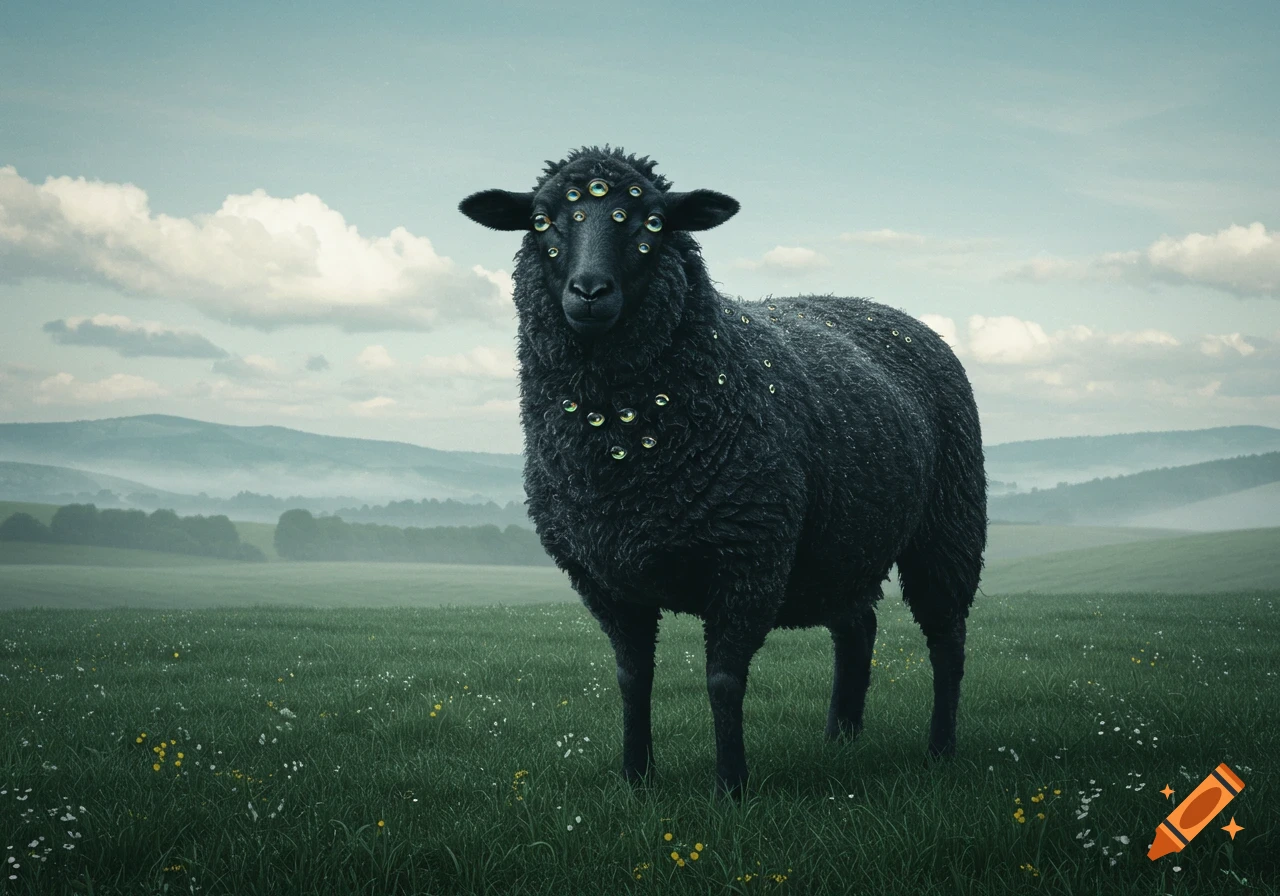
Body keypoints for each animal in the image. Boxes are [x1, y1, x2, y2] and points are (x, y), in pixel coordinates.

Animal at [459, 146, 987, 795]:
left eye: (654, 223)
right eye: (540, 221)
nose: (589, 290)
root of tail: (894, 312)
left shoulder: (747, 560)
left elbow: (723, 682)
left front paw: (731, 786)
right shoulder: (604, 577)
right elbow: (632, 679)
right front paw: (636, 777)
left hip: (949, 525)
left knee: (947, 640)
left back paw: (940, 750)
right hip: (844, 538)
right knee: (857, 627)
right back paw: (841, 738)